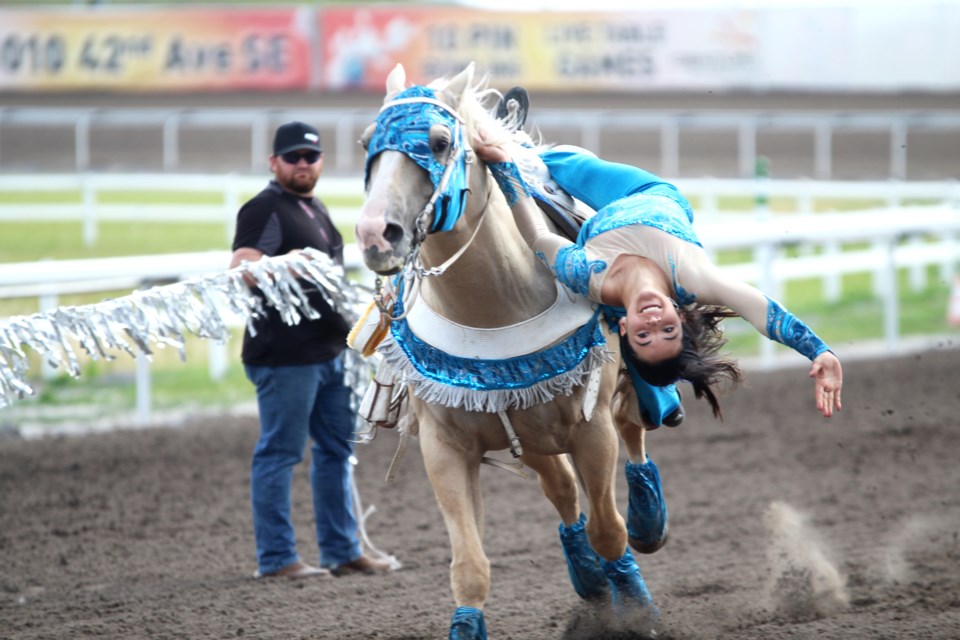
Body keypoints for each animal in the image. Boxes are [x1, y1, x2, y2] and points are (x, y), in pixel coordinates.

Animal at [356, 61, 664, 640]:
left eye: (438, 141)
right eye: (367, 142)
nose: (374, 234)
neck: (496, 308)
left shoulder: (591, 429)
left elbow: (609, 529)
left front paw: (638, 610)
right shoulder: (445, 445)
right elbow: (469, 563)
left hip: (612, 399)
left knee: (632, 437)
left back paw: (648, 519)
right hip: (528, 430)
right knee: (562, 490)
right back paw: (587, 575)